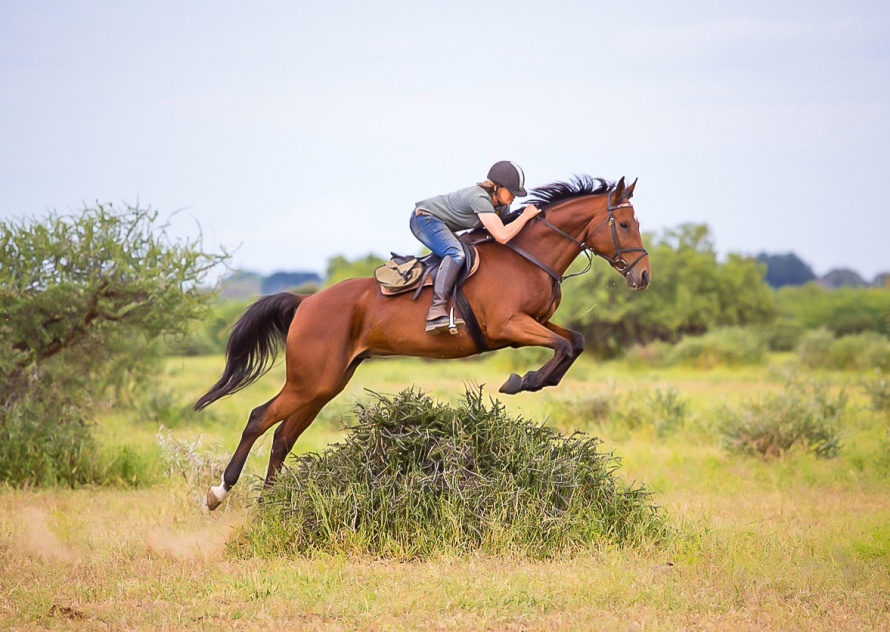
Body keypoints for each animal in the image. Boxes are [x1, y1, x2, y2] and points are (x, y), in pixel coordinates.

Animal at [198, 175, 648, 512]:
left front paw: (530, 380)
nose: (642, 277)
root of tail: (306, 301)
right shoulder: (509, 326)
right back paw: (220, 493)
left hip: (325, 384)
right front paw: (522, 381)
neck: (527, 254)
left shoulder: (535, 321)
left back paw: (272, 504)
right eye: (626, 225)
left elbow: (575, 342)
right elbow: (564, 348)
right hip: (310, 381)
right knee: (259, 418)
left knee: (282, 436)